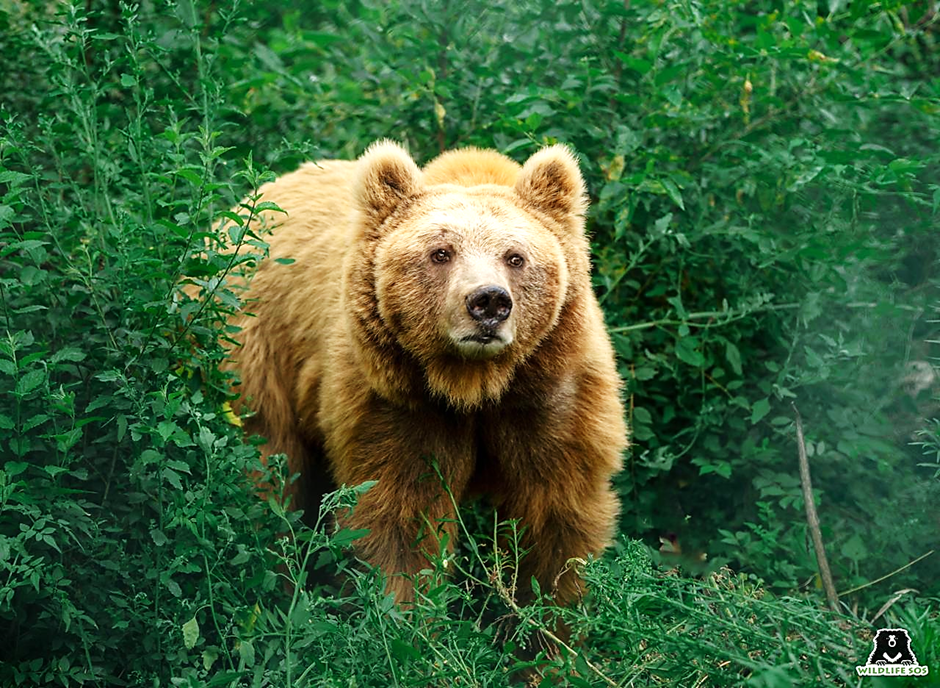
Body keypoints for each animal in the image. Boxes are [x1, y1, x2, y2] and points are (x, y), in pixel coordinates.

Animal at [216, 140, 627, 609]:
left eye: (516, 257)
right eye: (441, 252)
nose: (489, 302)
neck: (473, 384)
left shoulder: (548, 397)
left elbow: (555, 515)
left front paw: (551, 612)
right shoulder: (398, 404)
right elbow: (401, 518)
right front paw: (402, 611)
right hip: (255, 346)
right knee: (266, 470)